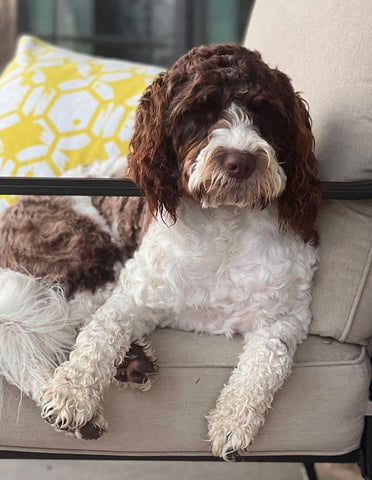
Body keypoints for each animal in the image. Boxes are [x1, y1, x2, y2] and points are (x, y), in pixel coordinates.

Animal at [0, 45, 320, 458]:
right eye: (200, 112)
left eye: (265, 111)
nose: (241, 161)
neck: (225, 223)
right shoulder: (134, 293)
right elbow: (99, 334)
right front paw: (71, 394)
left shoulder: (284, 318)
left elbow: (265, 363)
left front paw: (233, 421)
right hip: (84, 254)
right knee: (41, 327)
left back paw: (131, 365)